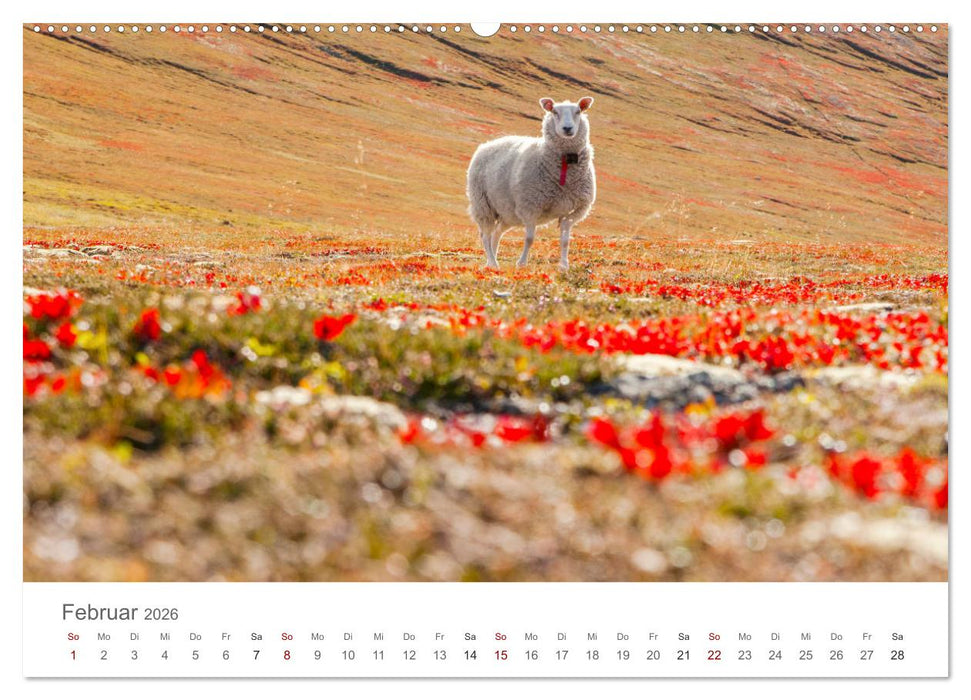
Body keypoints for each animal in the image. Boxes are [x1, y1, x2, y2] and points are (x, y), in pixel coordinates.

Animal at [466, 96, 596, 271]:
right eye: (554, 112)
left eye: (578, 111)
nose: (567, 128)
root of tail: (486, 144)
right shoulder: (530, 207)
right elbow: (529, 238)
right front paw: (521, 263)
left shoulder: (574, 211)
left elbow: (565, 240)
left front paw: (564, 265)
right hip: (483, 204)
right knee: (485, 235)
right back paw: (493, 262)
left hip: (508, 213)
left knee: (496, 233)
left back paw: (491, 260)